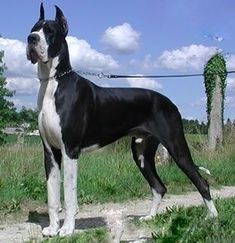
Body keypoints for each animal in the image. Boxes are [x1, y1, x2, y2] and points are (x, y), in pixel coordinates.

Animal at [26, 2, 218, 236]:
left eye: (50, 31)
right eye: (34, 29)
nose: (31, 39)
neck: (54, 83)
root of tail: (170, 103)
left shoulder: (70, 150)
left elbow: (69, 194)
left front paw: (67, 229)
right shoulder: (50, 153)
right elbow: (52, 195)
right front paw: (53, 228)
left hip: (177, 147)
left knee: (202, 182)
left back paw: (212, 217)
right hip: (141, 153)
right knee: (159, 187)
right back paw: (150, 217)